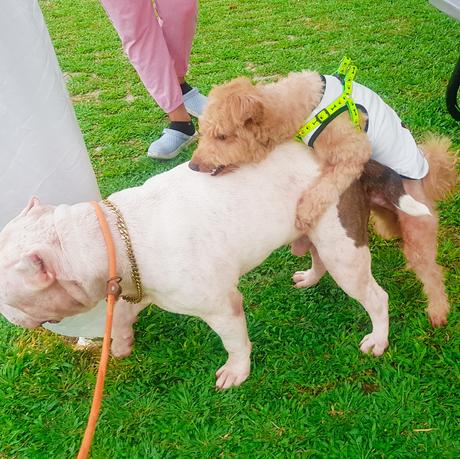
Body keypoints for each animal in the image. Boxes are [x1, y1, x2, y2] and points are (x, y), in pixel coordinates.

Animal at [0, 140, 428, 388]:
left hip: (345, 252)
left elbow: (234, 341)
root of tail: (350, 158)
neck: (112, 238)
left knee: (375, 296)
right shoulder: (133, 285)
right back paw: (310, 277)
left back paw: (378, 338)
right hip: (319, 230)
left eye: (7, 297)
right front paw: (120, 344)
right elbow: (121, 316)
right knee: (318, 255)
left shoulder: (222, 307)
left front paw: (237, 372)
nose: (6, 316)